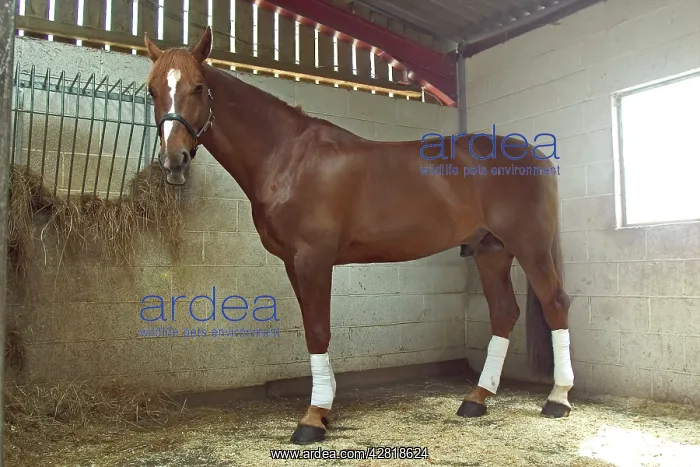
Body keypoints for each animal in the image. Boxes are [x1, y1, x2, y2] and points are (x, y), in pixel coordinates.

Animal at [143, 26, 574, 445]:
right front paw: (325, 405)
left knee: (555, 304)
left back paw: (558, 399)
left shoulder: (313, 258)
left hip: (530, 247)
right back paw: (476, 399)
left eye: (198, 87)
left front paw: (313, 418)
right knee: (504, 314)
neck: (289, 157)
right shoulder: (292, 262)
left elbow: (318, 330)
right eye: (152, 90)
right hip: (491, 251)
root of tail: (536, 156)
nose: (174, 160)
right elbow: (312, 326)